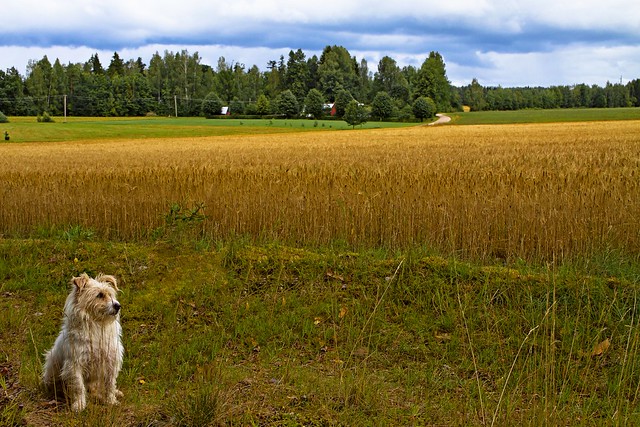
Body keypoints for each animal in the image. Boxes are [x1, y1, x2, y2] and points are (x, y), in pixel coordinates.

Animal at [42, 274, 124, 412]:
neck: (97, 325)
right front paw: (79, 405)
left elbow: (110, 385)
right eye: (100, 295)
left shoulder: (111, 362)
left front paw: (111, 401)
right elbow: (79, 387)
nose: (118, 306)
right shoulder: (75, 364)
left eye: (110, 294)